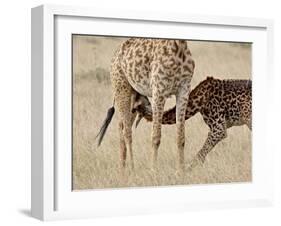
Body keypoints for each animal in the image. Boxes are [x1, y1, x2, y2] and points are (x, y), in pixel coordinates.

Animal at [96, 38, 195, 171]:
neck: (178, 46)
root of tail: (115, 56)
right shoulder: (159, 91)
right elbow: (156, 136)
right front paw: (154, 171)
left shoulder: (184, 90)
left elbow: (181, 136)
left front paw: (180, 172)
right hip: (121, 88)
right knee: (127, 131)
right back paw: (132, 169)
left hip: (133, 97)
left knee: (121, 126)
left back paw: (122, 170)